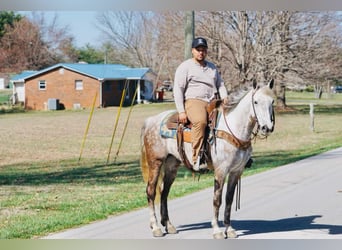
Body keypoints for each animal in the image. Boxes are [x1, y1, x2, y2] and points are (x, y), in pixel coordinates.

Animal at [139, 79, 276, 239]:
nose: (267, 128)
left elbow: (229, 199)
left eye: (272, 101)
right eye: (255, 102)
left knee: (164, 192)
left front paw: (229, 229)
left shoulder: (236, 171)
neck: (234, 129)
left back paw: (169, 225)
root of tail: (151, 120)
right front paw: (217, 230)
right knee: (151, 191)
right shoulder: (221, 170)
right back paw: (155, 227)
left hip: (172, 165)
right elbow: (217, 200)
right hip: (155, 162)